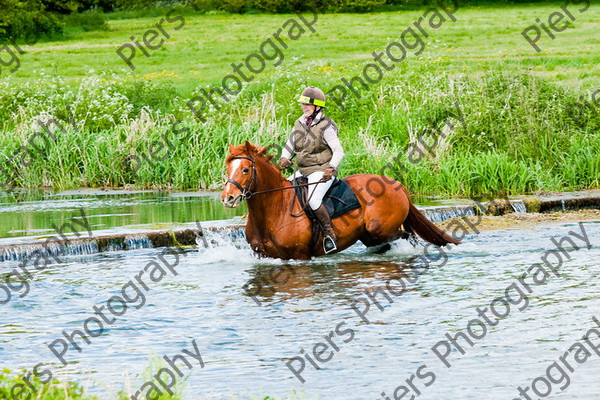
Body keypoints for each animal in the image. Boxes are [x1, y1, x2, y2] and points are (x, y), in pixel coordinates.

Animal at [221, 142, 460, 260]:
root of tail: (398, 185)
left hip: (380, 229)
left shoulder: (300, 257)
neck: (275, 209)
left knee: (406, 237)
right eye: (227, 167)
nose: (227, 198)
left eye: (245, 169)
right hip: (369, 236)